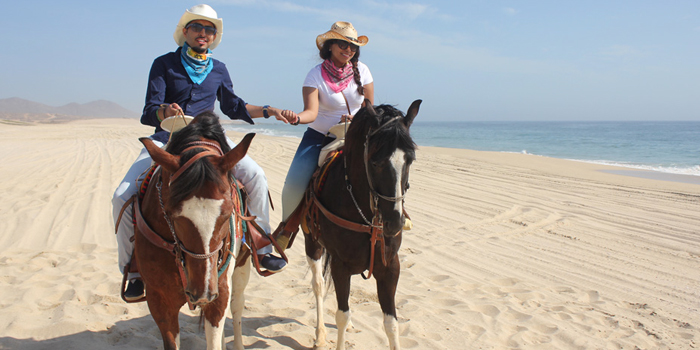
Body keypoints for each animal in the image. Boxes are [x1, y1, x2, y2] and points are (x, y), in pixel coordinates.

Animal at [134, 113, 254, 350]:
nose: (202, 292)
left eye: (227, 213)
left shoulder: (219, 294)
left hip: (240, 268)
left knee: (237, 307)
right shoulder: (159, 300)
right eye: (172, 214)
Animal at [302, 99, 422, 350]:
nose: (394, 222)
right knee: (318, 284)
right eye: (375, 162)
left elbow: (391, 323)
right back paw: (319, 334)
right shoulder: (340, 265)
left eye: (410, 160)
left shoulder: (390, 266)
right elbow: (341, 314)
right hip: (312, 242)